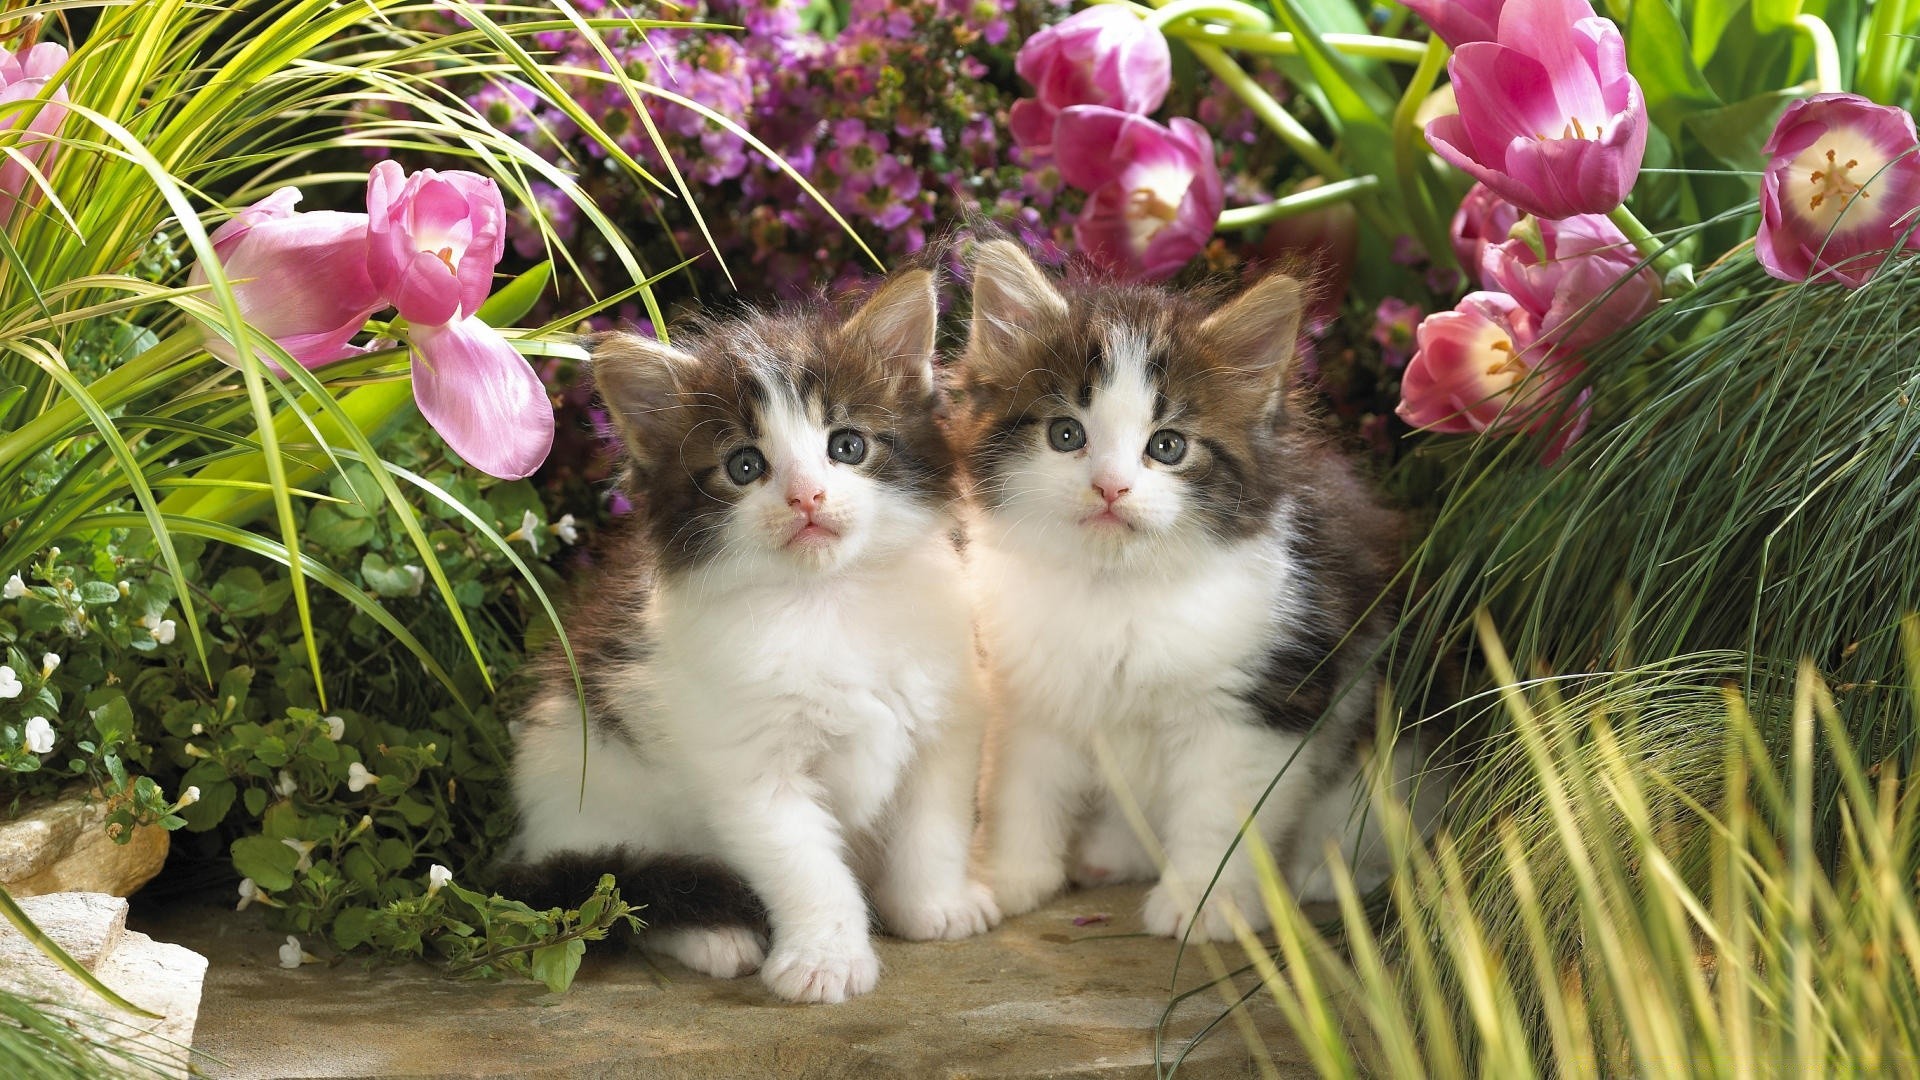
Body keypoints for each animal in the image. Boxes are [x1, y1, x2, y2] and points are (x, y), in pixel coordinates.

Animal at [495, 270, 998, 999]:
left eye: (847, 446)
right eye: (744, 466)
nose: (807, 496)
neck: (828, 603)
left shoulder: (945, 721)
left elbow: (934, 828)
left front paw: (934, 906)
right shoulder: (750, 770)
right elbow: (807, 868)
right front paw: (825, 959)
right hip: (588, 781)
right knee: (626, 891)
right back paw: (715, 936)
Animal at [956, 239, 1413, 937]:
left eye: (1167, 447)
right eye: (1066, 434)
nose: (1110, 487)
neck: (1118, 587)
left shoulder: (1252, 706)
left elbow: (1221, 814)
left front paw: (1207, 902)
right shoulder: (1032, 694)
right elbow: (1018, 790)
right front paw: (1006, 879)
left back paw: (1324, 873)